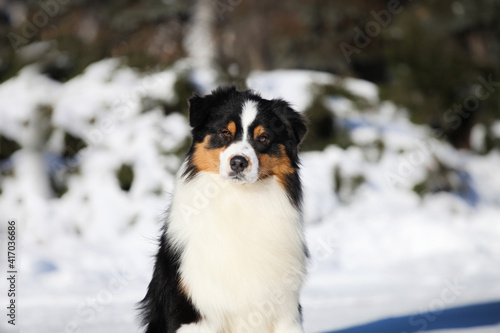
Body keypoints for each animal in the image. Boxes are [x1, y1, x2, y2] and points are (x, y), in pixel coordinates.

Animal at [139, 86, 306, 332]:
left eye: (263, 137)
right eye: (225, 133)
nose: (238, 162)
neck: (238, 198)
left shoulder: (285, 312)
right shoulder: (195, 312)